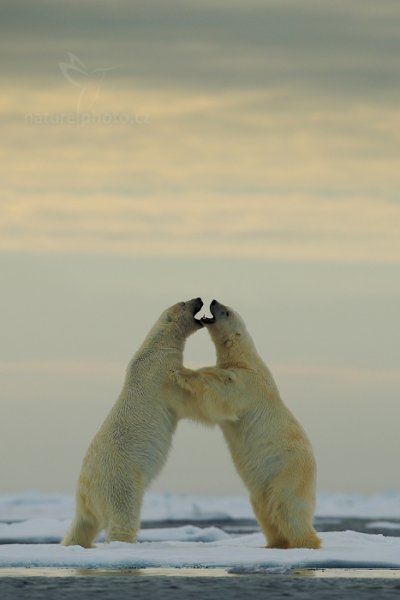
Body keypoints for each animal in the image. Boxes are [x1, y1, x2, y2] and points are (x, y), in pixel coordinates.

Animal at [64, 296, 206, 548]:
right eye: (183, 302)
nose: (198, 298)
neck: (156, 347)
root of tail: (86, 490)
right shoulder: (162, 372)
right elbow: (182, 398)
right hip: (121, 481)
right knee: (124, 514)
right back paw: (123, 543)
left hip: (88, 500)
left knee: (82, 526)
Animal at [173, 300, 322, 548]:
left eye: (226, 312)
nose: (213, 301)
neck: (245, 358)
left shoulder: (247, 383)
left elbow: (223, 393)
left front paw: (182, 371)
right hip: (262, 487)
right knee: (265, 512)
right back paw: (273, 544)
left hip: (287, 472)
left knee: (287, 509)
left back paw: (307, 543)